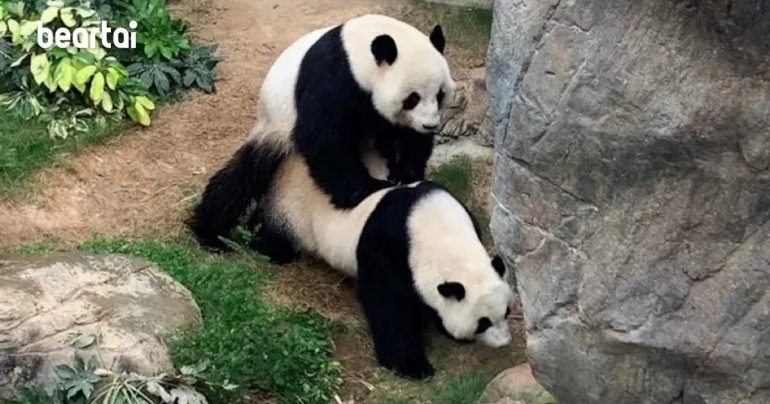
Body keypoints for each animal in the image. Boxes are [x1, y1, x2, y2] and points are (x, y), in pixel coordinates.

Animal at [188, 14, 456, 249]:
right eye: (412, 98)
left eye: (440, 94)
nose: (430, 125)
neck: (358, 51)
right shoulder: (333, 76)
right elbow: (323, 138)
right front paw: (366, 188)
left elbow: (405, 136)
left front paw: (405, 173)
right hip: (274, 127)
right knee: (242, 176)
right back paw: (212, 233)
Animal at [253, 131, 514, 379]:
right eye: (482, 323)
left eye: (507, 312)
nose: (504, 342)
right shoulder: (386, 246)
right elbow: (387, 304)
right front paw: (413, 366)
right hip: (292, 209)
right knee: (276, 232)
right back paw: (269, 249)